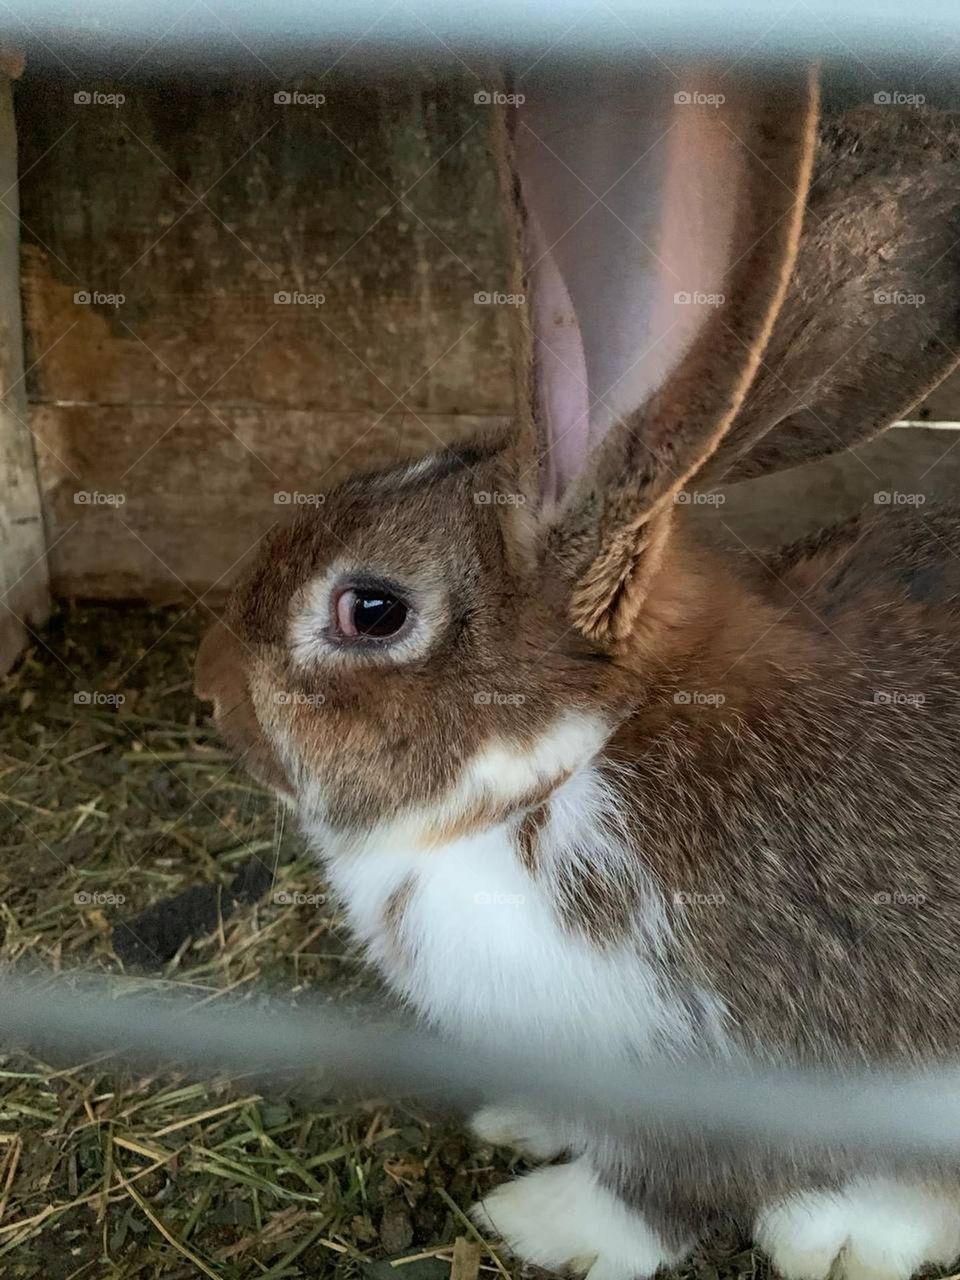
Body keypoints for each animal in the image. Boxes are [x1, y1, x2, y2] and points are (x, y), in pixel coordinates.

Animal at [195, 62, 960, 1280]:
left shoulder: (722, 1070)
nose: (207, 691)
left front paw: (545, 1221)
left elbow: (657, 1197)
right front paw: (521, 1122)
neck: (556, 771)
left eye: (373, 609)